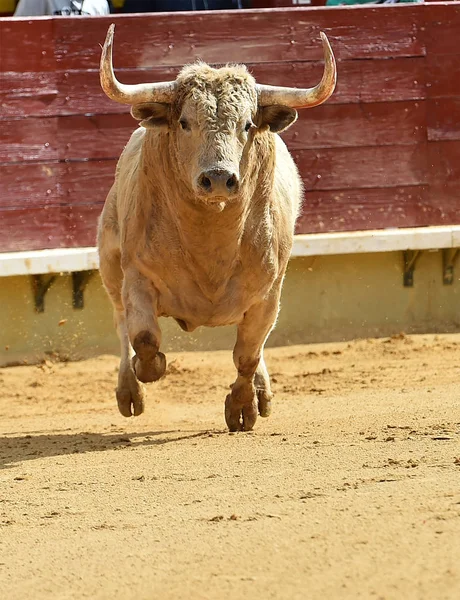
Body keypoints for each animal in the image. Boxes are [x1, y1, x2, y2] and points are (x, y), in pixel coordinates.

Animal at [98, 24, 334, 432]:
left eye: (248, 124)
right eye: (184, 122)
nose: (219, 178)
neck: (210, 244)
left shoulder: (268, 293)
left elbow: (248, 354)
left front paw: (242, 407)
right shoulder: (137, 277)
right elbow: (143, 339)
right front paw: (151, 367)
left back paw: (262, 392)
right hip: (110, 266)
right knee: (121, 324)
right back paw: (129, 393)